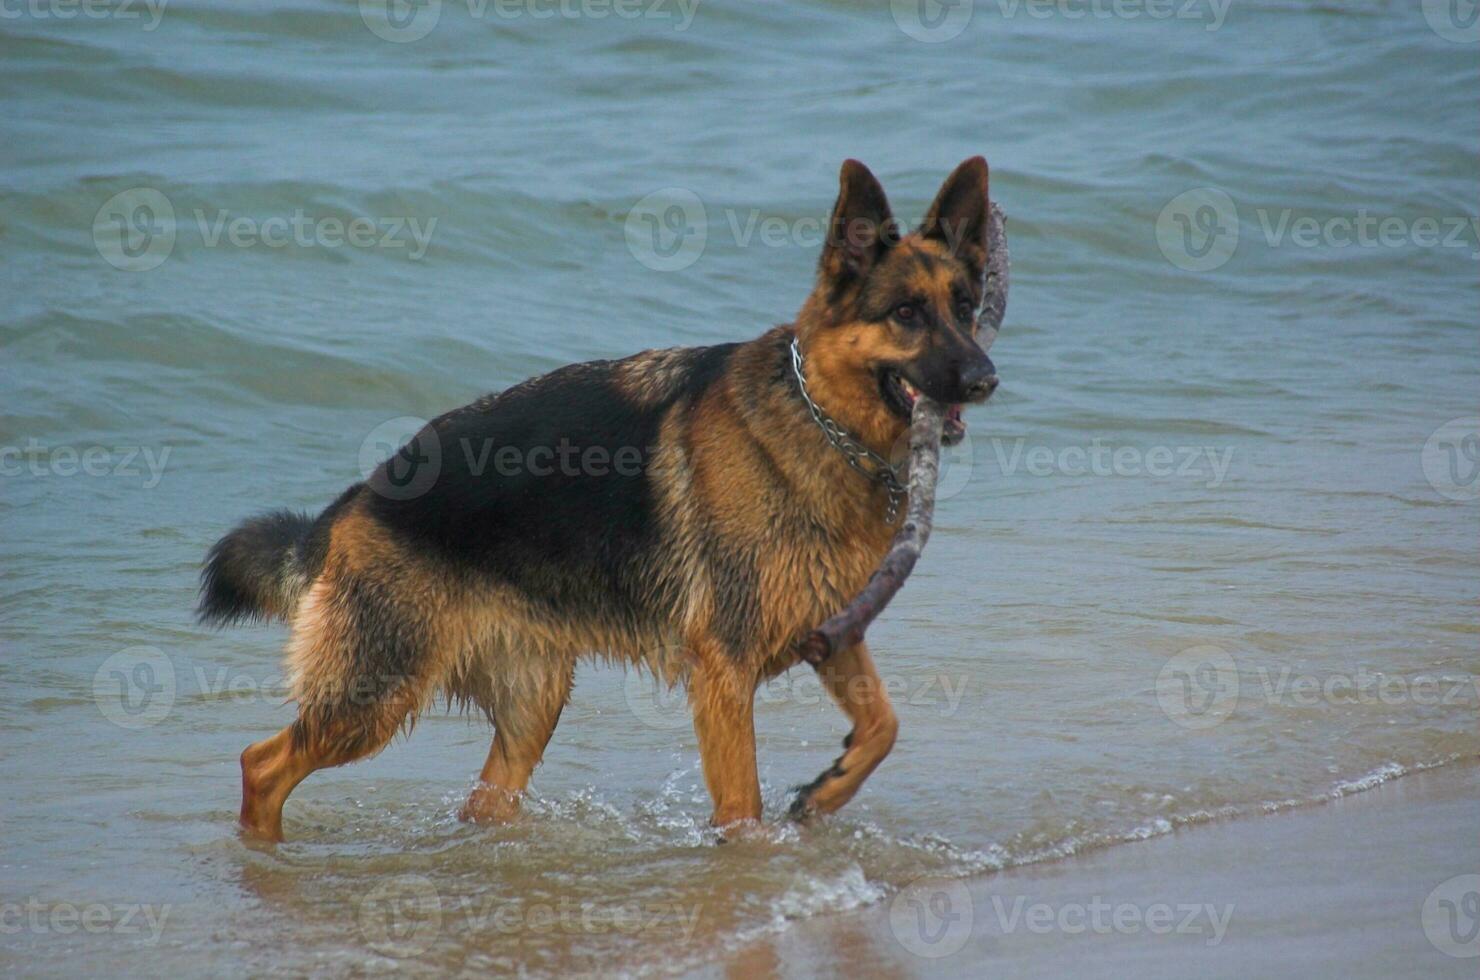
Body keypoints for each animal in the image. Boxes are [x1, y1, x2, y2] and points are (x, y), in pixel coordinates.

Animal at [202, 159, 1000, 846]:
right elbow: (742, 809)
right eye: (906, 313)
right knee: (261, 765)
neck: (817, 417)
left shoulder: (831, 631)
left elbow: (885, 724)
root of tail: (354, 502)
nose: (986, 379)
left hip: (529, 707)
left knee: (480, 803)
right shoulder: (724, 674)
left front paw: (829, 788)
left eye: (964, 307)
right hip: (376, 695)